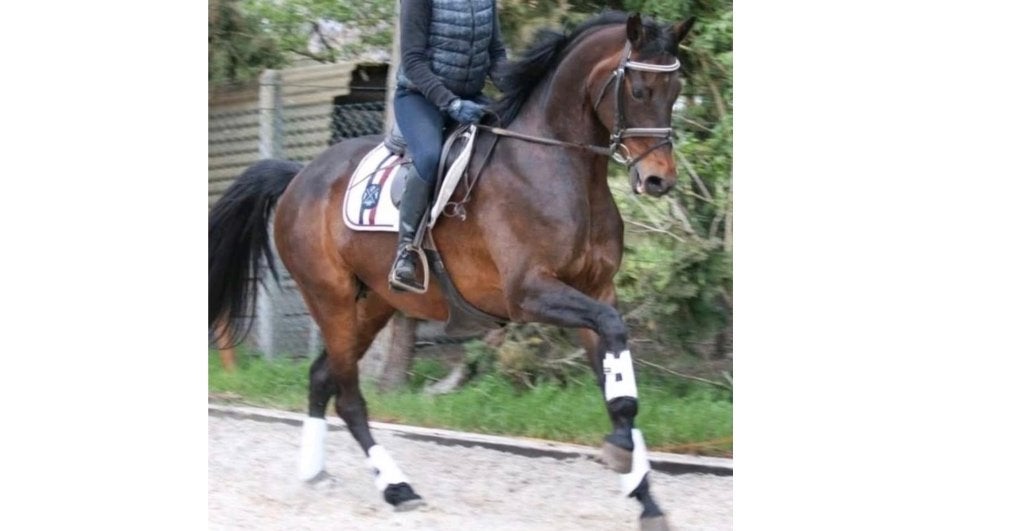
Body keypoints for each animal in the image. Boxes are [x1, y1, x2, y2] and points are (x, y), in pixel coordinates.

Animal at [209, 11, 695, 531]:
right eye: (639, 90)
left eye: (676, 89)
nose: (659, 180)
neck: (559, 165)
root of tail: (299, 176)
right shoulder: (531, 293)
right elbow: (614, 342)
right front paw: (623, 454)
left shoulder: (597, 292)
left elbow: (615, 384)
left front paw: (644, 496)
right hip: (330, 298)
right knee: (348, 396)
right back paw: (397, 488)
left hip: (374, 303)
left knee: (322, 378)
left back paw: (313, 473)